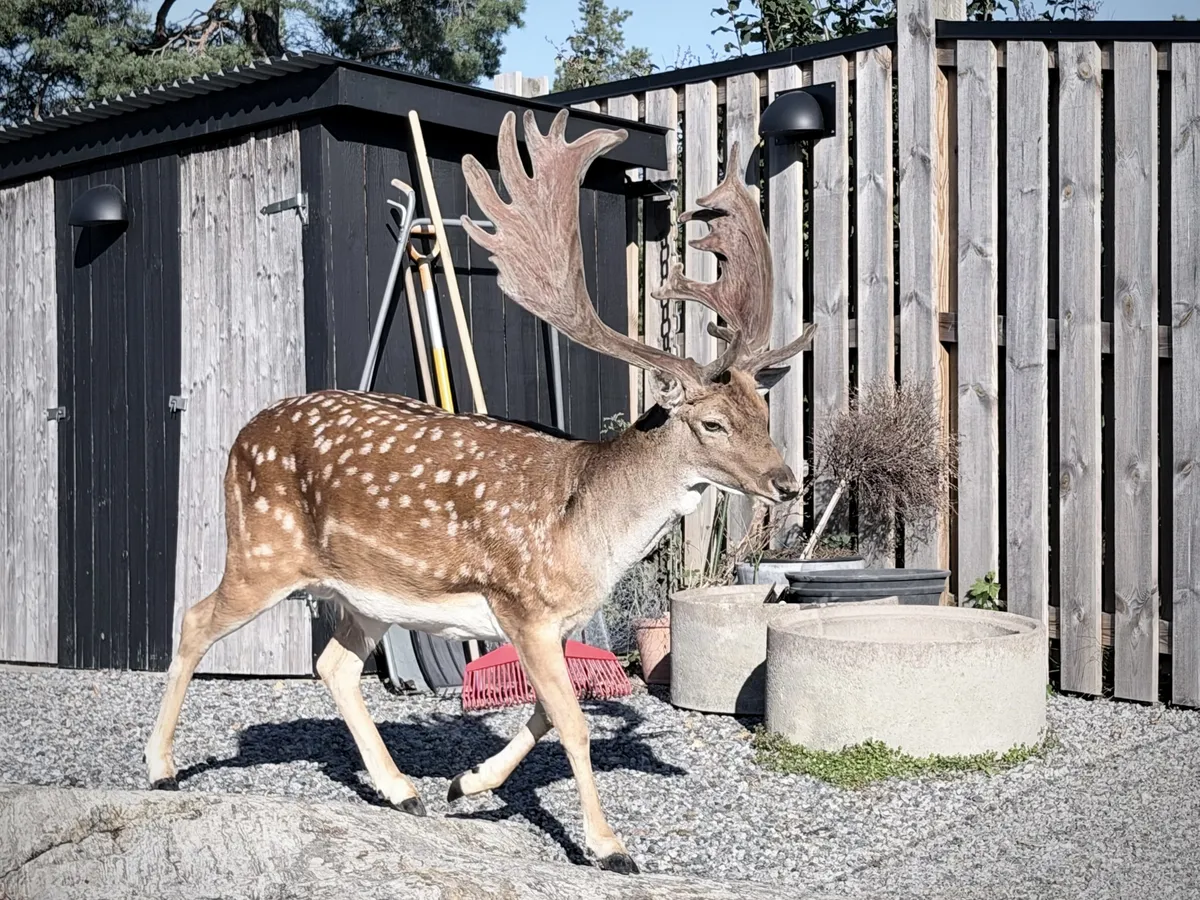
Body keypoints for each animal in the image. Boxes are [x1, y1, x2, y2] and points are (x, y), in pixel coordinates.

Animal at [144, 108, 816, 875]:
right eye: (712, 423)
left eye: (763, 410)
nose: (787, 481)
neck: (586, 527)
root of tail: (240, 436)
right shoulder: (519, 601)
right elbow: (572, 722)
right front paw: (608, 846)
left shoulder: (554, 623)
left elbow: (548, 712)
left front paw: (469, 783)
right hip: (262, 549)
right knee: (195, 619)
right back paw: (161, 767)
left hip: (363, 592)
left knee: (334, 664)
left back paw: (403, 789)